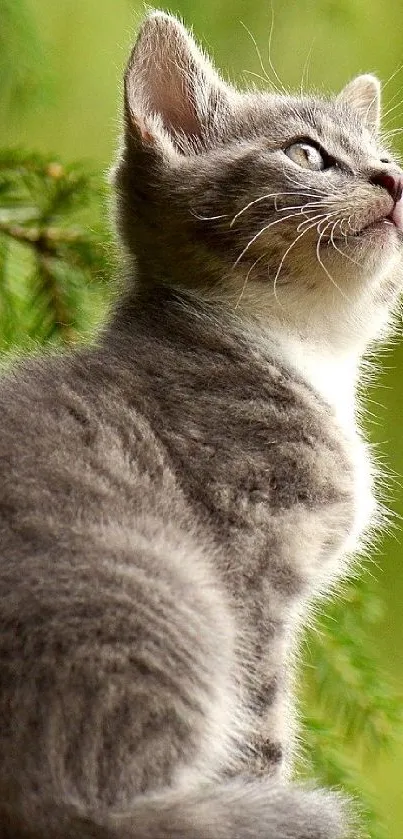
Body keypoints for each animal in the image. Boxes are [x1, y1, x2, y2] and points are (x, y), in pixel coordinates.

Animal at [0, 11, 403, 839]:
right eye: (306, 153)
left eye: (385, 157)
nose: (392, 180)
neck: (302, 351)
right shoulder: (250, 571)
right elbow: (261, 724)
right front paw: (267, 788)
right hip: (163, 590)